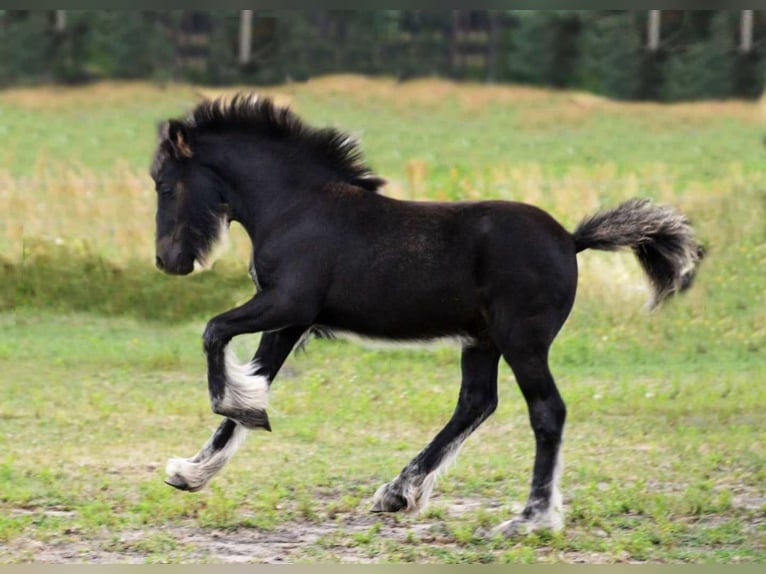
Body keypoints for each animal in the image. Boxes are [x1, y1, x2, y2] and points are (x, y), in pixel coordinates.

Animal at [152, 93, 708, 536]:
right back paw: (399, 493)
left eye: (164, 184)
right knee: (476, 403)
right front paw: (192, 471)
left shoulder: (287, 304)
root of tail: (572, 240)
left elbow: (214, 334)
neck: (296, 207)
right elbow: (256, 376)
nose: (167, 260)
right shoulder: (290, 320)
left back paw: (529, 519)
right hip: (483, 339)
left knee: (546, 411)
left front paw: (236, 413)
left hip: (522, 340)